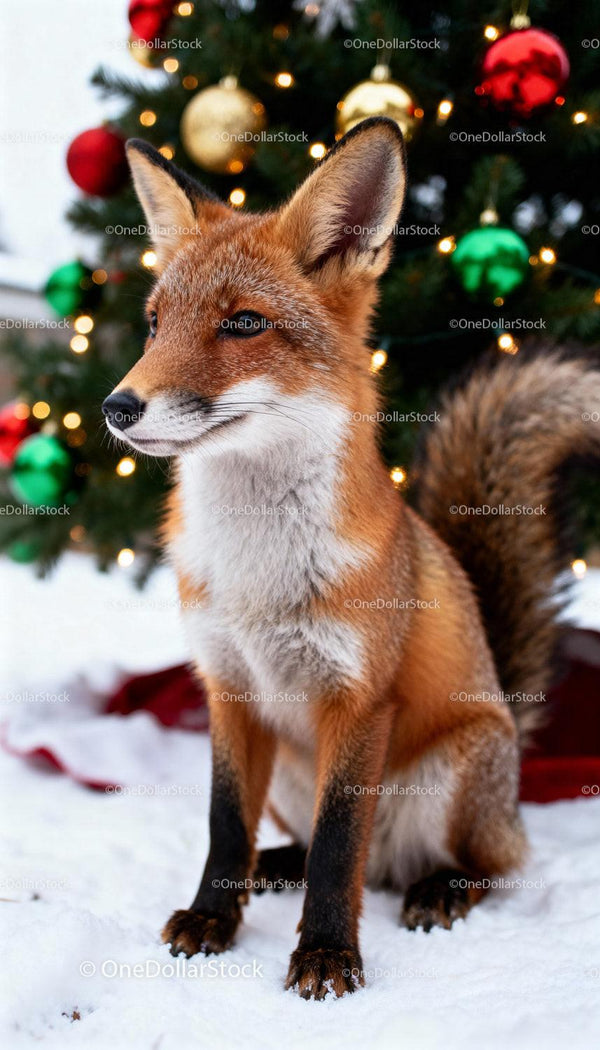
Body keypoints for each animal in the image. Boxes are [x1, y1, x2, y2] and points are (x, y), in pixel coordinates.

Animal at [102, 117, 600, 1000]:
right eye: (156, 324)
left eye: (244, 323)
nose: (116, 407)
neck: (256, 573)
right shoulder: (227, 688)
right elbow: (223, 824)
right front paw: (213, 917)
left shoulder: (359, 699)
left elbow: (340, 850)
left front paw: (328, 955)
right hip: (289, 775)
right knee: (319, 848)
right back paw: (275, 867)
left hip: (449, 773)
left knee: (475, 865)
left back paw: (440, 887)